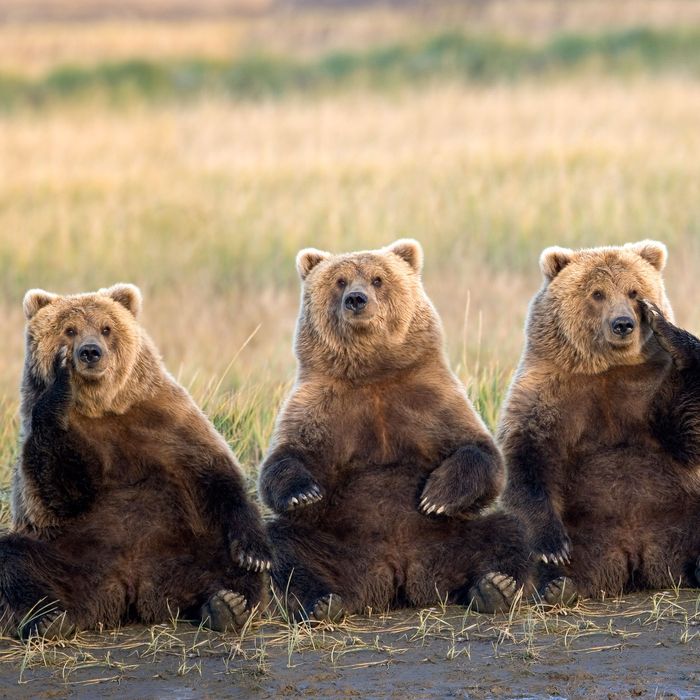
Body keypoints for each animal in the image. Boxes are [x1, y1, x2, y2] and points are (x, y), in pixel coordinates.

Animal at [1, 283, 270, 639]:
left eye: (106, 328)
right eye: (70, 330)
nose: (90, 352)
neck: (100, 407)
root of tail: (131, 588)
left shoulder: (162, 421)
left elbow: (215, 473)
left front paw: (254, 554)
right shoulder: (56, 435)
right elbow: (57, 490)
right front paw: (61, 381)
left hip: (183, 549)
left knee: (222, 563)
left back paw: (227, 605)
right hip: (69, 555)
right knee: (16, 560)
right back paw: (49, 619)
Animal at [258, 239, 531, 621]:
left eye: (377, 278)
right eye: (340, 281)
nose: (356, 299)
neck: (372, 374)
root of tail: (399, 572)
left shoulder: (429, 399)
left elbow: (479, 452)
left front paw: (436, 496)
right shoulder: (320, 406)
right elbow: (285, 458)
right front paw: (303, 492)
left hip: (452, 537)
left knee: (509, 531)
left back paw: (495, 588)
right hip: (338, 545)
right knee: (285, 547)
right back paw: (324, 602)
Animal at [498, 240, 700, 603]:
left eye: (634, 291)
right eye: (597, 293)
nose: (623, 323)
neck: (606, 368)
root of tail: (636, 553)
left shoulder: (652, 389)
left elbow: (689, 431)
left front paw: (666, 328)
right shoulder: (547, 392)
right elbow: (526, 454)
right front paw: (552, 546)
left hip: (682, 511)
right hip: (589, 531)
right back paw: (542, 586)